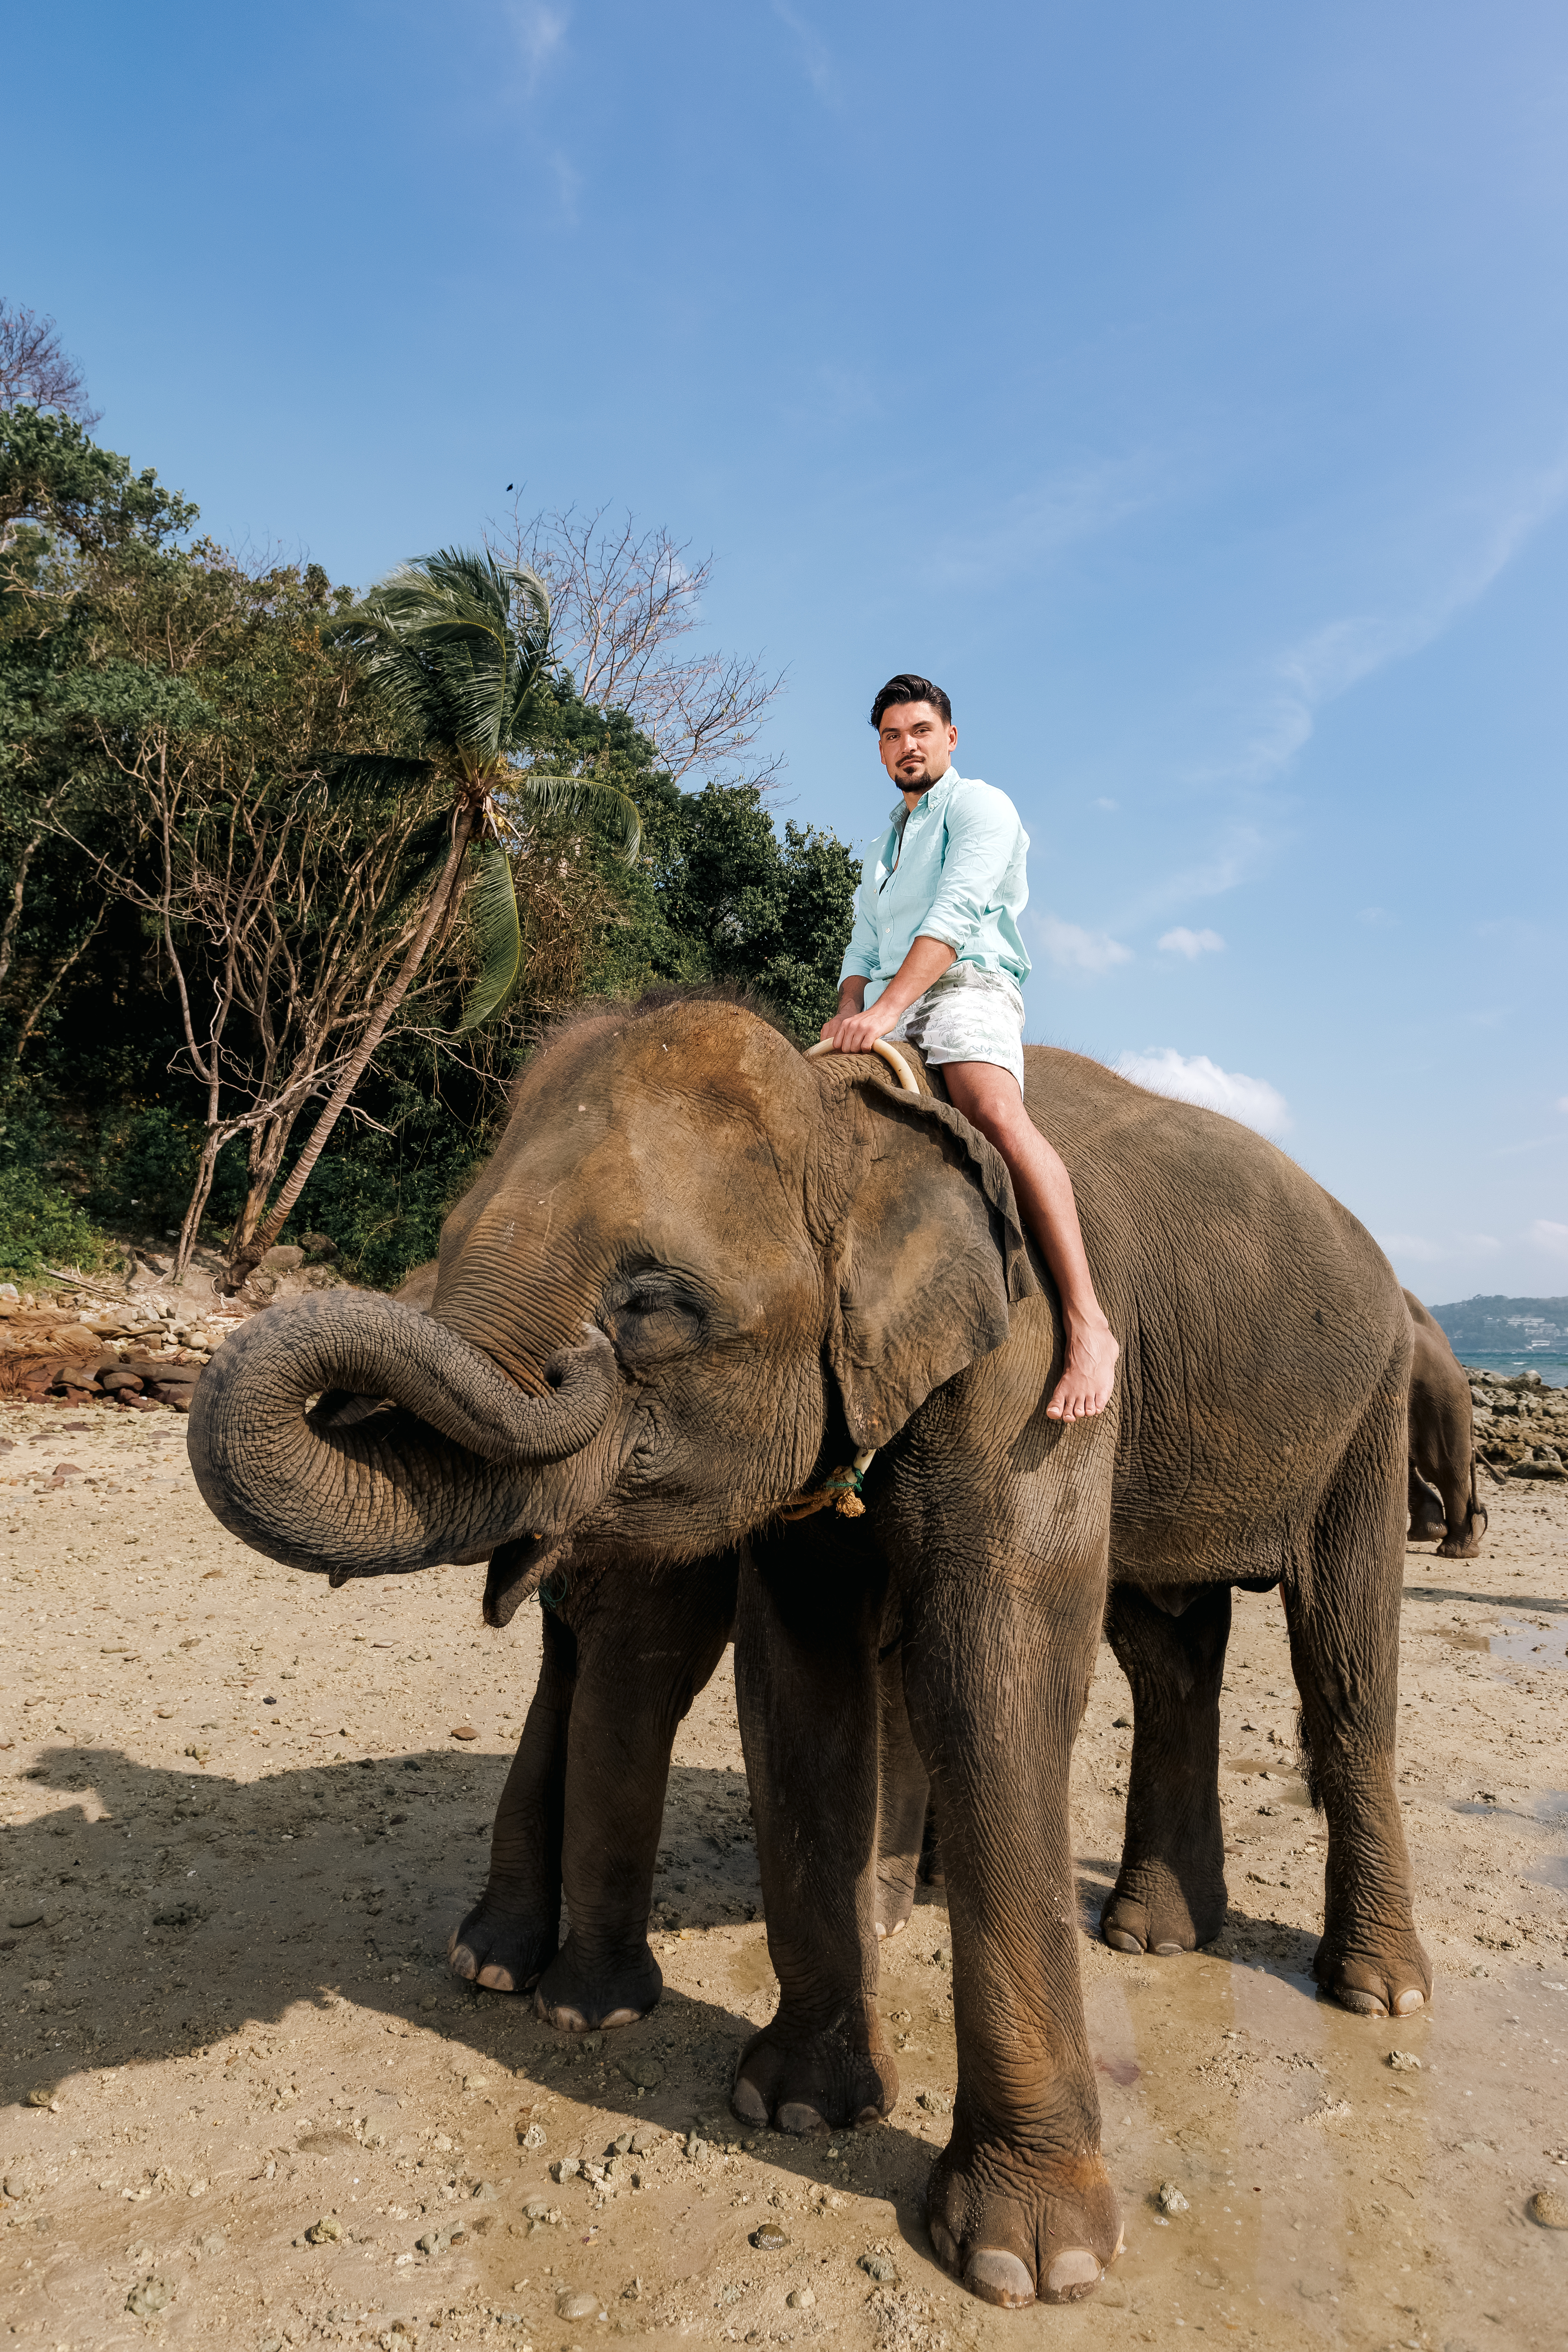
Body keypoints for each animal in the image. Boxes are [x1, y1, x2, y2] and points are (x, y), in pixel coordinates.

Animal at [190, 987, 1429, 2312]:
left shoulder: (1036, 1373)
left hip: (1369, 1405)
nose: (577, 1359)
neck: (854, 1126)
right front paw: (792, 2106)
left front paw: (1027, 2262)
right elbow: (798, 1685)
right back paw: (1147, 1935)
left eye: (652, 1303)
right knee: (1171, 1646)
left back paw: (1372, 1989)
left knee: (1343, 1666)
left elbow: (991, 1684)